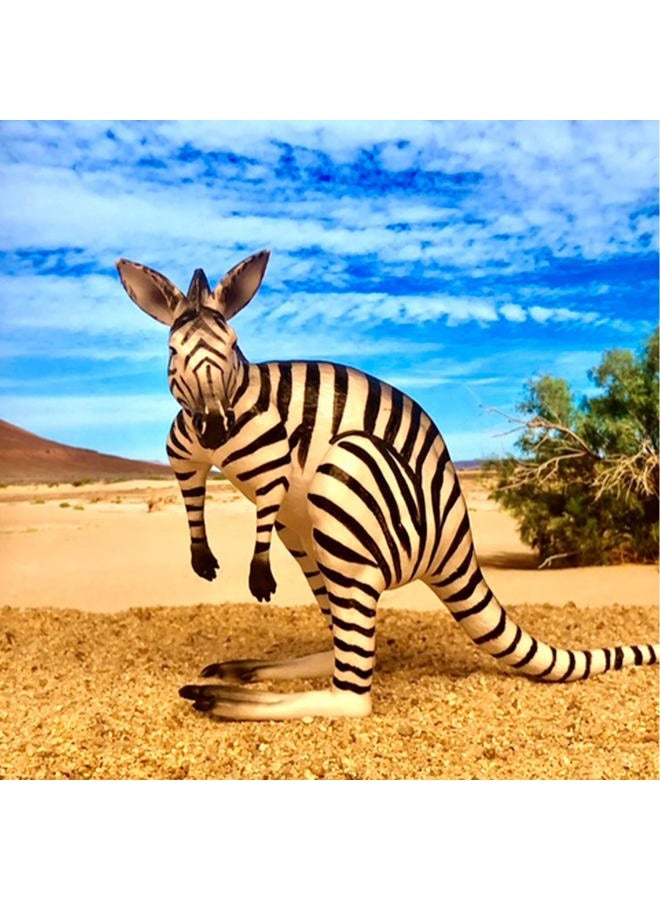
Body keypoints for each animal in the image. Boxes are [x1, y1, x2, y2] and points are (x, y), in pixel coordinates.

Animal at [116, 250, 659, 720]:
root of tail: (455, 542)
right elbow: (192, 500)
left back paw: (224, 699)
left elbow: (262, 512)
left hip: (346, 484)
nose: (214, 426)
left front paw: (258, 577)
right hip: (311, 540)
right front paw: (202, 558)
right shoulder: (184, 456)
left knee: (353, 696)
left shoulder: (273, 460)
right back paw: (248, 671)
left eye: (229, 348)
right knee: (342, 648)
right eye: (173, 351)